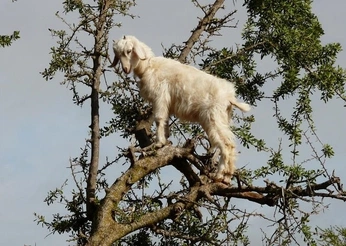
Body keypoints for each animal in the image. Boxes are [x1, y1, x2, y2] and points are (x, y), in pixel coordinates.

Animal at [109, 35, 250, 184]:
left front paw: (158, 144)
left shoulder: (160, 96)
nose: (125, 68)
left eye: (129, 50)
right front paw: (165, 141)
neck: (148, 66)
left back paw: (220, 176)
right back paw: (226, 177)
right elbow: (165, 120)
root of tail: (229, 97)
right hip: (223, 118)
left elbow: (159, 119)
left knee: (226, 144)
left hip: (213, 117)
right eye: (117, 54)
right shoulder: (168, 103)